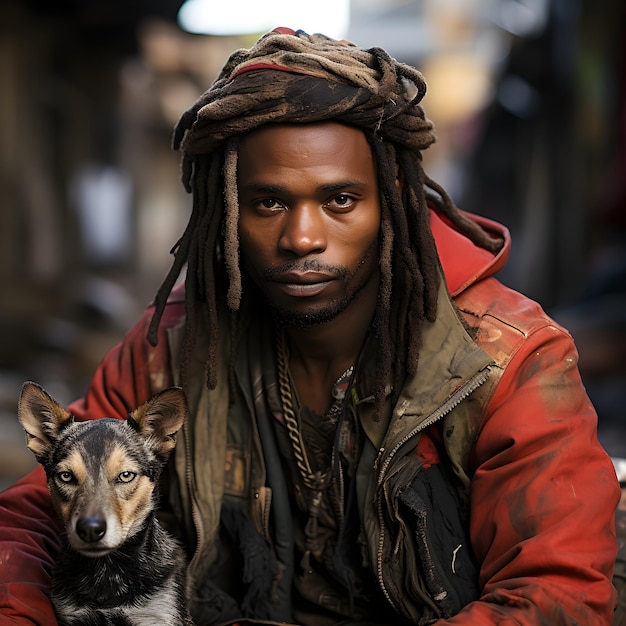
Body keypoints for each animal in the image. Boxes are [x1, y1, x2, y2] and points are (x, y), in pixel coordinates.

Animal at [18, 380, 194, 624]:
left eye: (126, 475)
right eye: (66, 476)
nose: (90, 530)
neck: (106, 570)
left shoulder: (158, 614)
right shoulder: (73, 615)